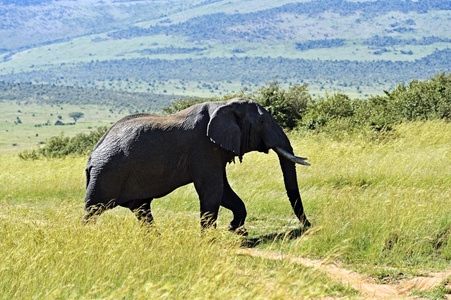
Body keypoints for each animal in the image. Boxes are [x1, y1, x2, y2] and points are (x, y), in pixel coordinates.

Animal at [84, 98, 310, 232]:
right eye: (262, 122)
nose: (309, 226)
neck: (224, 104)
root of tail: (92, 155)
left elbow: (223, 190)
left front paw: (233, 229)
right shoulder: (203, 147)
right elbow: (213, 189)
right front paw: (210, 241)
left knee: (142, 209)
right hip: (107, 174)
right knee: (92, 209)